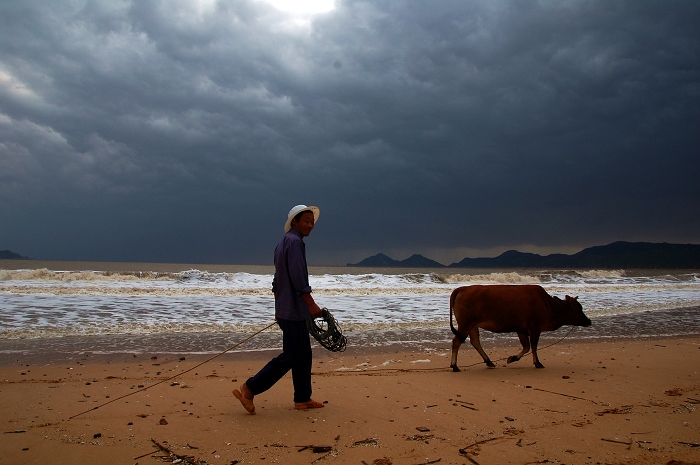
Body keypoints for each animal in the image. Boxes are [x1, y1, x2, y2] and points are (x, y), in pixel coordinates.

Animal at [448, 282, 592, 370]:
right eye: (578, 308)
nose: (589, 321)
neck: (548, 305)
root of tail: (462, 288)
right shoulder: (535, 328)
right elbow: (533, 346)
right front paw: (537, 363)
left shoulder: (521, 330)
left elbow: (526, 347)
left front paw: (512, 358)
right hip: (465, 324)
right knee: (457, 341)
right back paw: (454, 366)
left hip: (472, 325)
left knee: (475, 341)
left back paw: (489, 361)